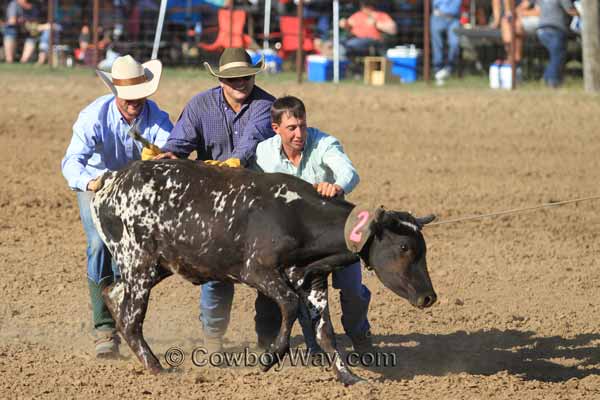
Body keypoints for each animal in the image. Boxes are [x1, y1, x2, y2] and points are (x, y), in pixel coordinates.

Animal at [89, 159, 436, 384]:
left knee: (113, 293)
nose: (429, 297)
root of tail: (112, 180)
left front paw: (349, 377)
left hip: (154, 267)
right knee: (131, 319)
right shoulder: (257, 271)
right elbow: (289, 305)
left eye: (423, 248)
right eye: (404, 247)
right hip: (138, 264)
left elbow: (325, 333)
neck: (295, 216)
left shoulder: (313, 280)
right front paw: (269, 358)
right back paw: (157, 368)